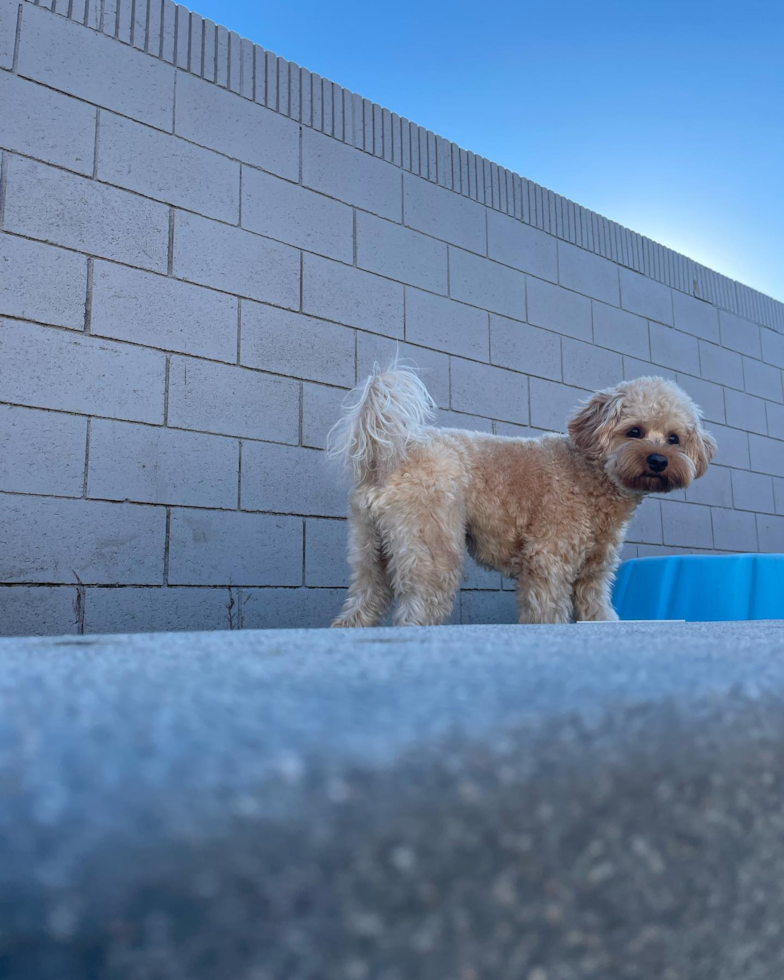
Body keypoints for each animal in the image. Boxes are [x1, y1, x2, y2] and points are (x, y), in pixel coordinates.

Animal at [330, 366, 716, 628]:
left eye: (674, 439)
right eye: (634, 431)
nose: (658, 461)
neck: (591, 474)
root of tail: (385, 459)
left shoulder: (594, 572)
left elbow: (598, 611)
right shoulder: (549, 560)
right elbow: (546, 612)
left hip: (370, 551)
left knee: (360, 606)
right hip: (431, 547)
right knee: (417, 610)